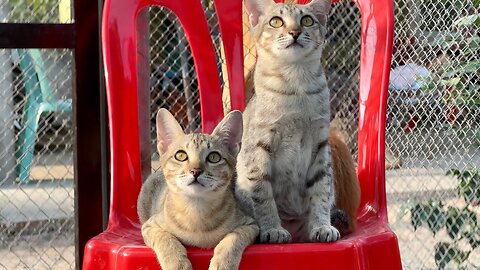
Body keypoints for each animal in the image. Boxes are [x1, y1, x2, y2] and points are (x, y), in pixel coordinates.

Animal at [138, 108, 258, 268]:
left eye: (214, 157)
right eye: (180, 155)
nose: (196, 171)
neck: (196, 211)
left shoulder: (250, 225)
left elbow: (233, 238)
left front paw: (223, 263)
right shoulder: (150, 226)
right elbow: (165, 238)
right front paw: (177, 264)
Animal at [234, 0, 358, 244]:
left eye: (307, 20)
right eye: (276, 21)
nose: (295, 32)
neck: (296, 85)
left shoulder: (320, 145)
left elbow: (321, 191)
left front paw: (322, 226)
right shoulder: (261, 146)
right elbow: (263, 196)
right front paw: (273, 229)